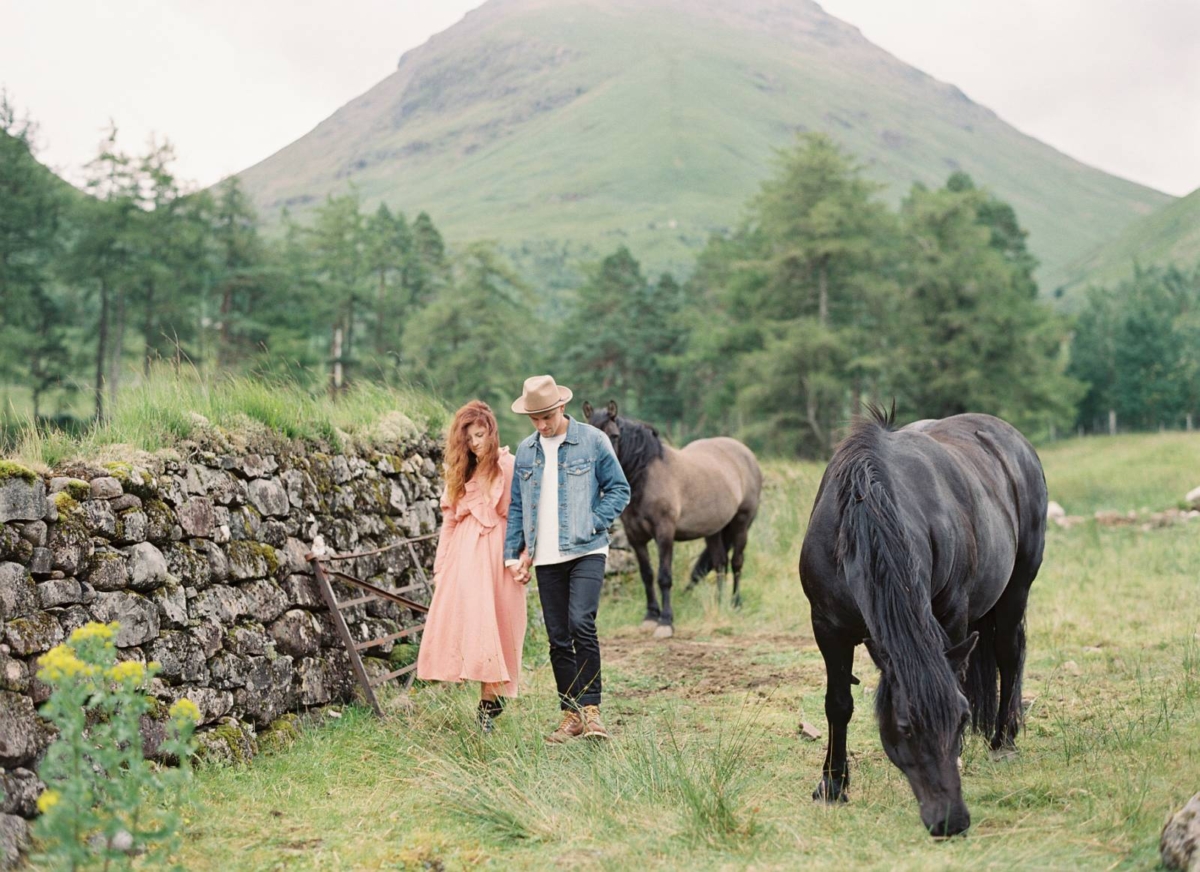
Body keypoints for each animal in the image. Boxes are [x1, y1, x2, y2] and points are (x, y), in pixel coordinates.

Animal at [580, 403, 758, 642]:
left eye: (614, 435)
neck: (645, 477)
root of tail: (746, 454)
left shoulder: (664, 533)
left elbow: (664, 577)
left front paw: (665, 623)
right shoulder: (636, 537)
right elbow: (647, 575)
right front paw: (650, 617)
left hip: (741, 524)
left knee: (737, 563)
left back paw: (735, 604)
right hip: (713, 530)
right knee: (720, 563)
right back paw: (719, 604)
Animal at [801, 405, 1046, 834]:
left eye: (961, 719)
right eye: (905, 727)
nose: (951, 820)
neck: (862, 513)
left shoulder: (951, 615)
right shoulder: (827, 628)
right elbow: (838, 704)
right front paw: (832, 785)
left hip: (1017, 588)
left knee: (1009, 654)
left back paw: (1003, 742)